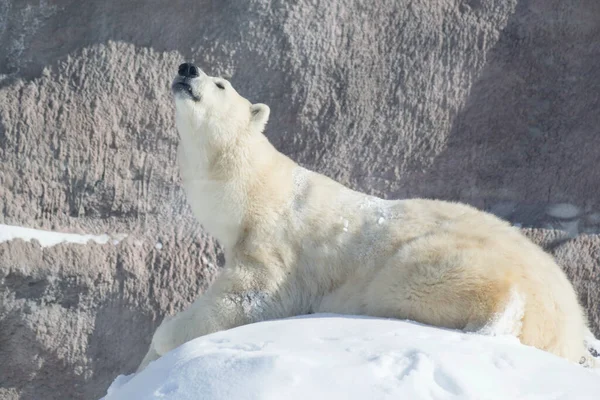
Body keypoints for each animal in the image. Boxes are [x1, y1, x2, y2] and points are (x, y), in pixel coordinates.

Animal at [137, 63, 596, 372]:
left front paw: (163, 337)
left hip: (430, 261)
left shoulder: (276, 245)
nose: (187, 67)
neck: (257, 188)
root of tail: (569, 324)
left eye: (221, 84)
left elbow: (246, 296)